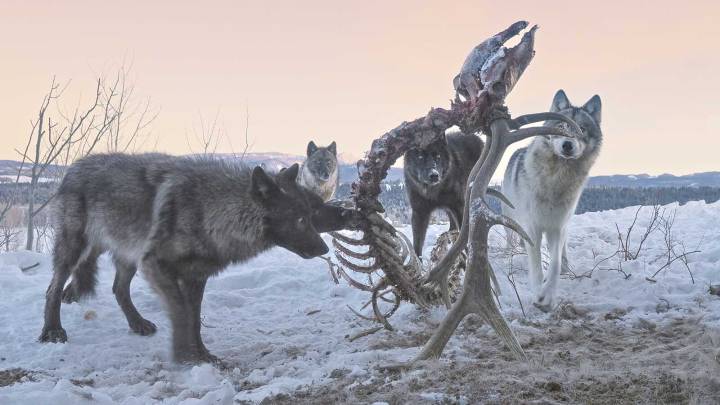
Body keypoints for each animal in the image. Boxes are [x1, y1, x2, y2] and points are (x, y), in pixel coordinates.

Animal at [39, 154, 361, 364]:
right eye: (300, 219)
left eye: (310, 213)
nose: (324, 249)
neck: (211, 211)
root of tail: (74, 166)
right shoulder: (158, 267)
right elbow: (181, 314)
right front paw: (184, 356)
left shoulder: (196, 277)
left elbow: (194, 319)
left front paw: (202, 355)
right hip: (75, 248)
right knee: (53, 288)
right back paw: (52, 331)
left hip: (129, 255)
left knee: (118, 289)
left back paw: (138, 324)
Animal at [502, 89, 602, 311]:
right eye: (561, 127)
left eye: (582, 129)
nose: (567, 145)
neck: (556, 180)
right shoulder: (533, 227)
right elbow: (536, 264)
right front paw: (538, 293)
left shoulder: (557, 226)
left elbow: (554, 264)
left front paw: (547, 296)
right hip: (511, 217)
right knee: (511, 238)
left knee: (562, 252)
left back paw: (566, 267)